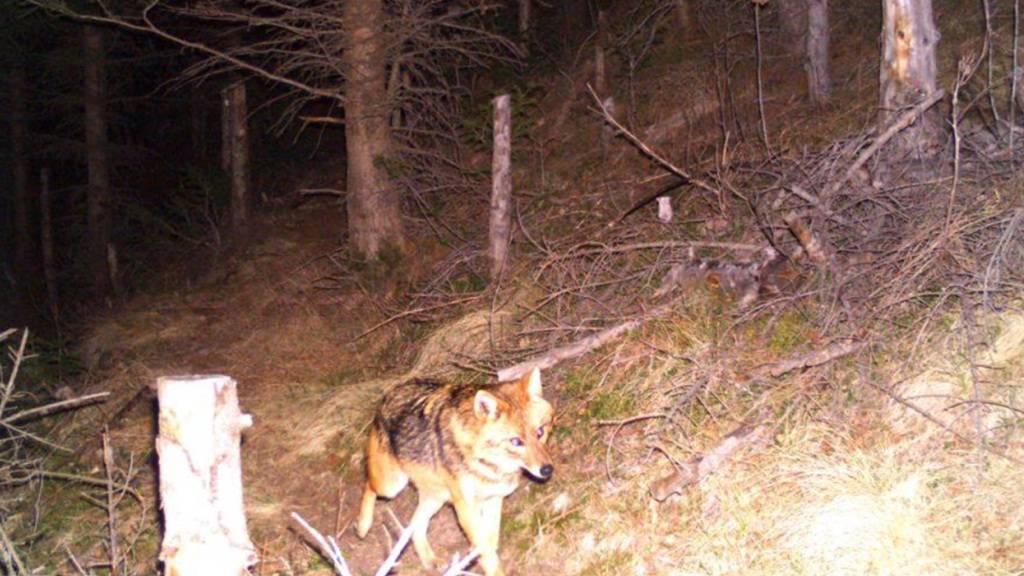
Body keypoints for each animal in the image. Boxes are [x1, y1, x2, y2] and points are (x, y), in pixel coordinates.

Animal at [356, 368, 554, 576]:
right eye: (516, 442)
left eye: (540, 432)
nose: (547, 469)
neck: (490, 465)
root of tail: (392, 391)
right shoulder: (465, 507)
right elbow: (485, 550)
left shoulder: (494, 499)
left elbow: (489, 543)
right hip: (392, 486)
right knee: (368, 485)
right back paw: (363, 525)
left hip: (436, 497)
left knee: (415, 524)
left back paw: (429, 560)